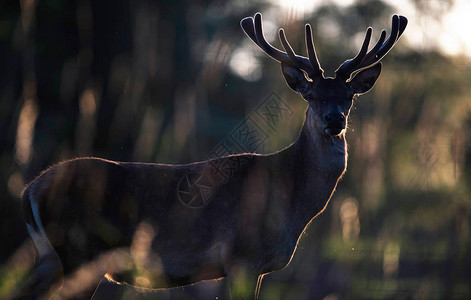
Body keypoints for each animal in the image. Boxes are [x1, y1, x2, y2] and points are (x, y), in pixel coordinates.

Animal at [20, 12, 408, 300]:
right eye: (311, 95)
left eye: (349, 96)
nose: (334, 120)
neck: (292, 198)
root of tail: (30, 190)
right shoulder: (242, 255)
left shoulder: (254, 266)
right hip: (78, 251)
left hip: (52, 258)